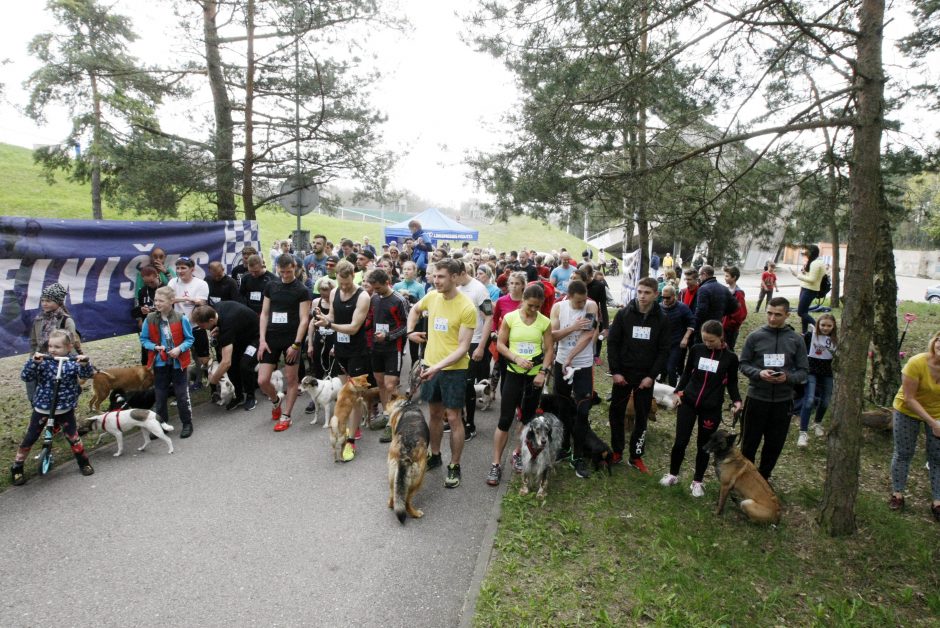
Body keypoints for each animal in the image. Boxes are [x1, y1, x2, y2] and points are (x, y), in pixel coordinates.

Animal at [386, 394, 430, 524]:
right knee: (406, 502)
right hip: (418, 479)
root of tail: (405, 450)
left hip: (393, 477)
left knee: (394, 497)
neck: (405, 405)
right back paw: (416, 514)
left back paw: (391, 504)